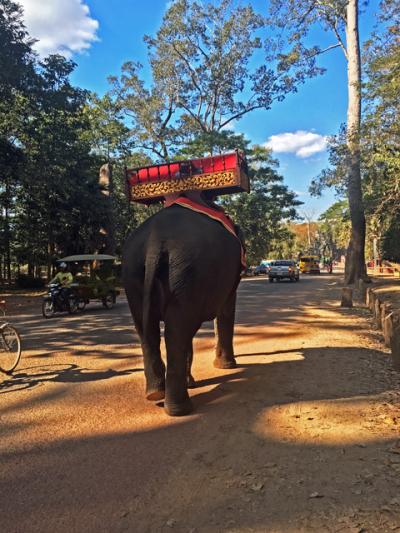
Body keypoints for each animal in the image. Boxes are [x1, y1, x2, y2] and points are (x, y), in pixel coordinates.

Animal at [122, 200, 242, 416]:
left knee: (149, 331)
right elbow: (225, 310)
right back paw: (180, 409)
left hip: (134, 273)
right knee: (177, 332)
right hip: (188, 272)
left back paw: (155, 393)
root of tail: (155, 242)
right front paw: (227, 367)